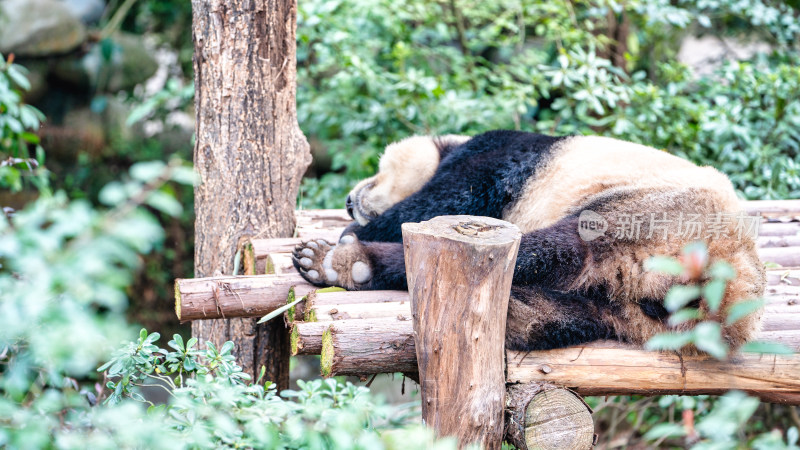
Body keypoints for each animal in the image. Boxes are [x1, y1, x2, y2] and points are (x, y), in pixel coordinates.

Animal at [290, 132, 764, 354]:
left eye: (378, 173)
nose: (350, 199)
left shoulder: (497, 157)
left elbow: (442, 200)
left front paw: (353, 232)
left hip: (649, 212)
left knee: (556, 246)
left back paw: (343, 260)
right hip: (635, 313)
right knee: (579, 313)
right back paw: (518, 316)